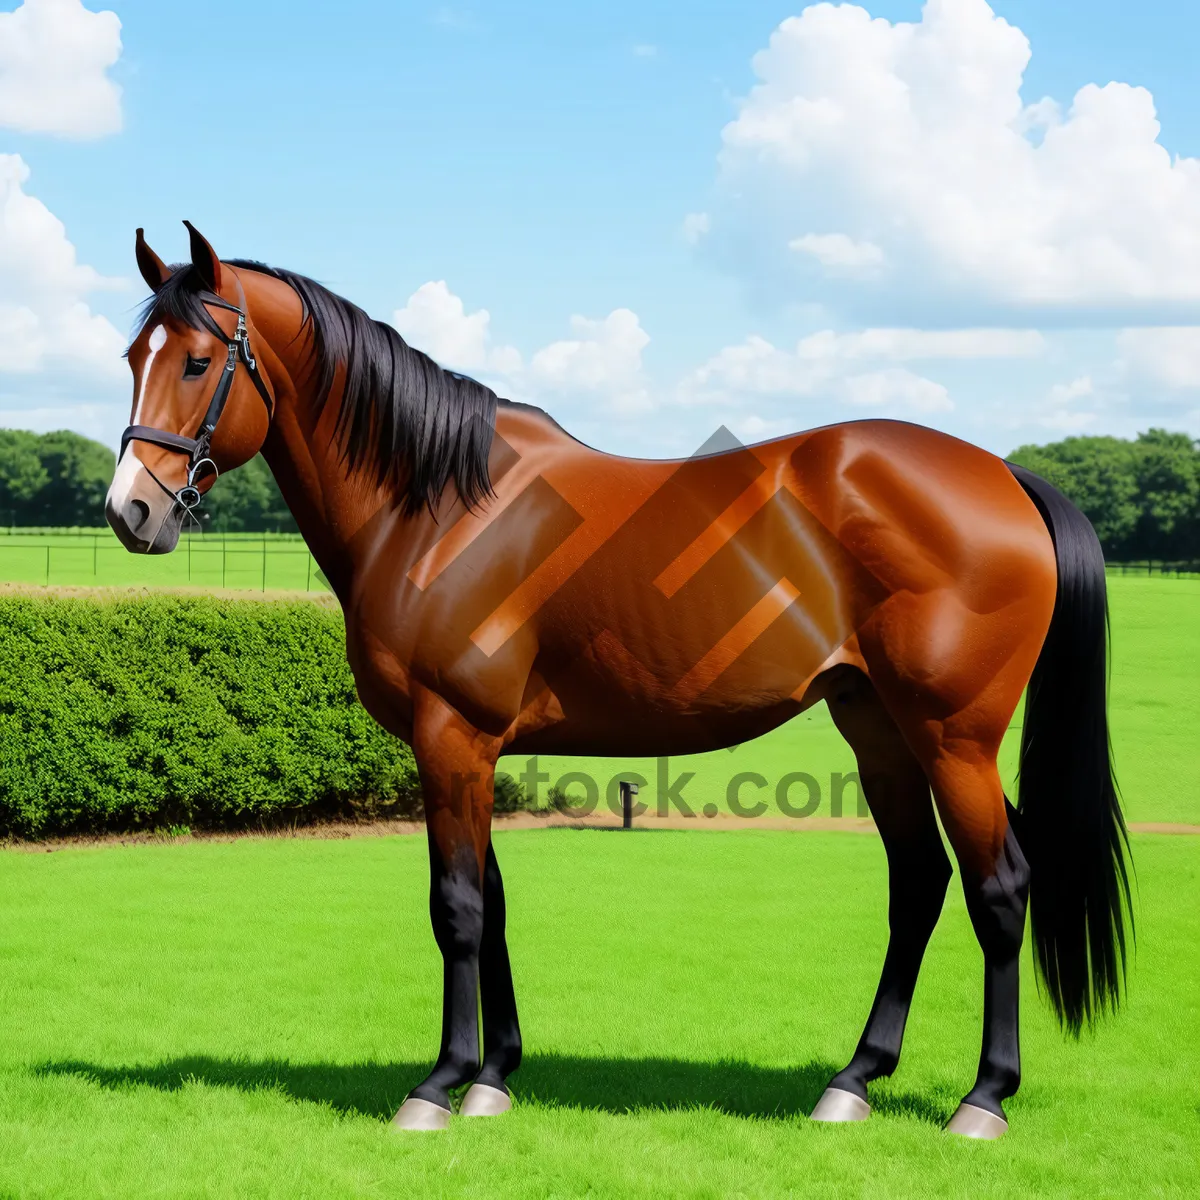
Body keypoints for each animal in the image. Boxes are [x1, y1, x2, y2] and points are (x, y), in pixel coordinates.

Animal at [108, 223, 1128, 1132]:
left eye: (197, 361)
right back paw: (853, 1082)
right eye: (132, 355)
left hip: (955, 737)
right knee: (917, 883)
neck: (441, 506)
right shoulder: (476, 746)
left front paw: (439, 1086)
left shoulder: (452, 734)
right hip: (877, 726)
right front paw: (495, 1077)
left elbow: (457, 907)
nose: (130, 510)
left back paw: (983, 1099)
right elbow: (496, 904)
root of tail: (1003, 475)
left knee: (999, 888)